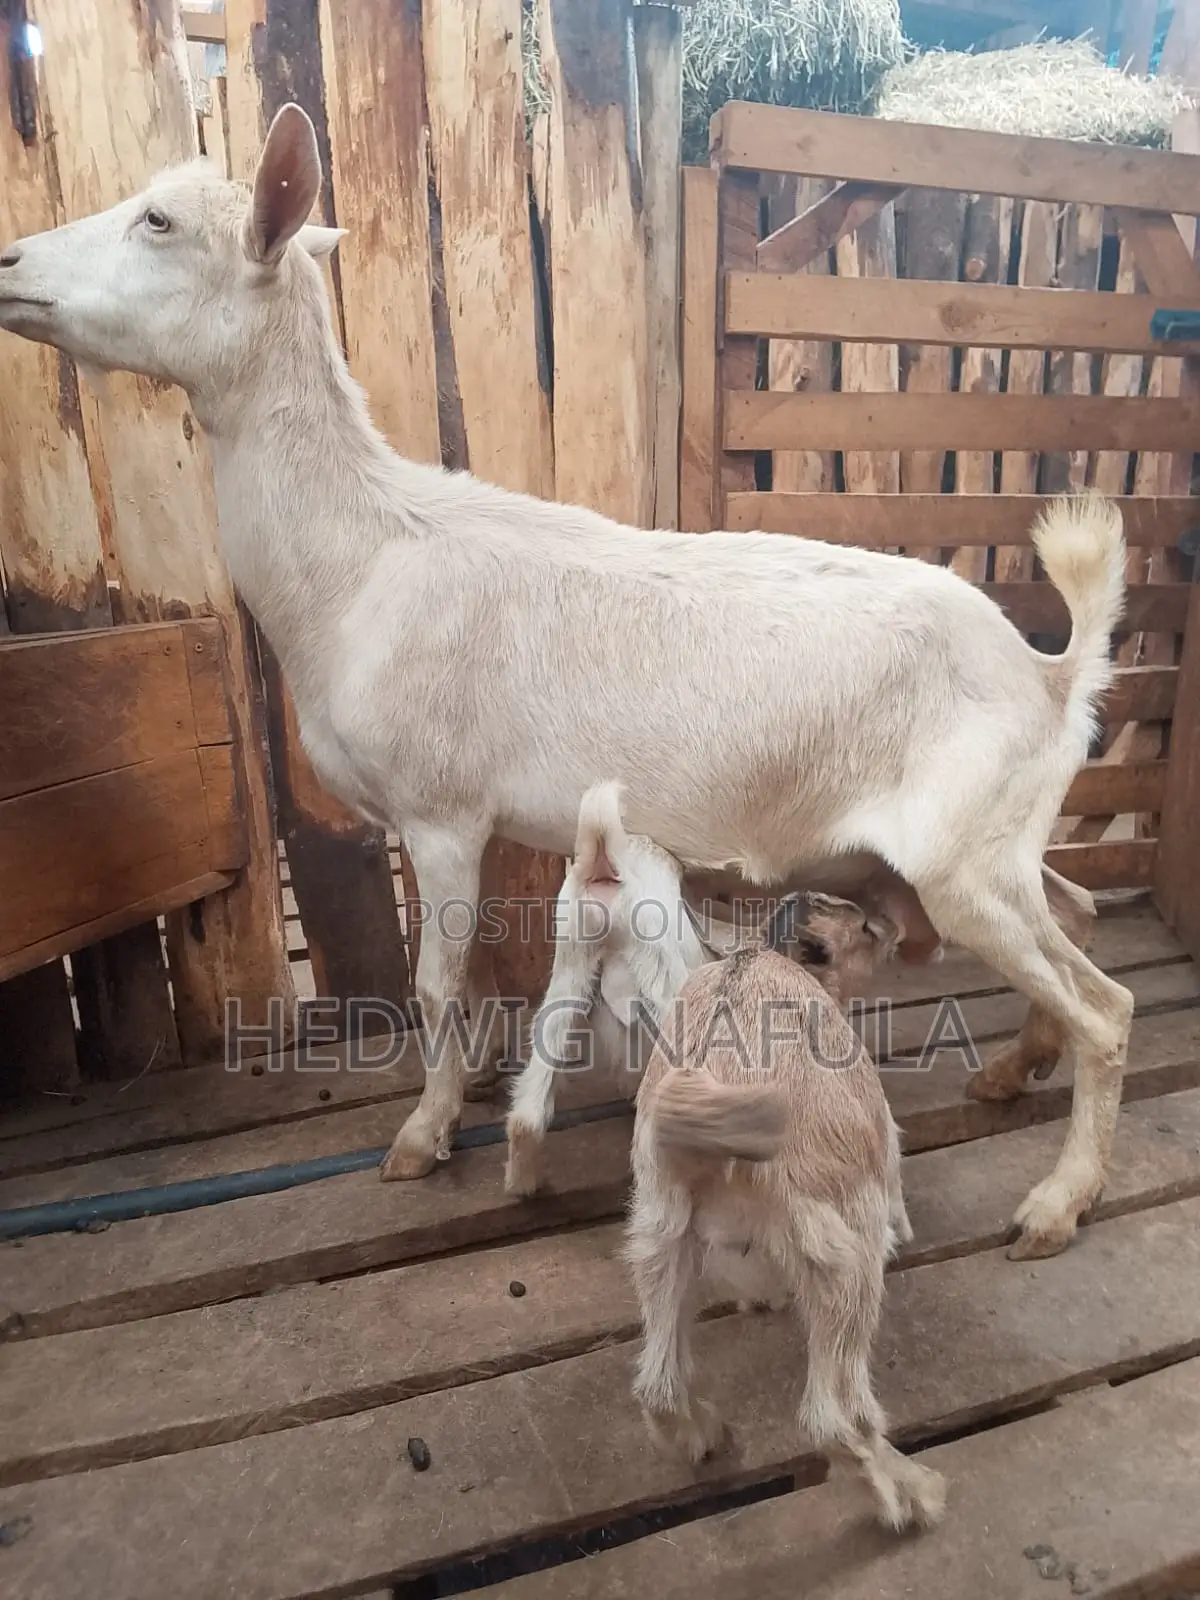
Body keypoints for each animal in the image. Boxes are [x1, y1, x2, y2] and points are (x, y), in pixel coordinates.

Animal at [0, 100, 1132, 1261]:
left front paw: (423, 1134)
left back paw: (1058, 1200)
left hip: (966, 859)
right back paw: (1011, 1072)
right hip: (979, 847)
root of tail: (1054, 671)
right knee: (1083, 912)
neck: (362, 559)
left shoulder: (442, 811)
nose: (8, 262)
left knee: (1110, 1009)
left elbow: (435, 980)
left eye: (160, 222)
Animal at [626, 894, 946, 1533]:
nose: (892, 921)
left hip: (659, 1236)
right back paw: (909, 1494)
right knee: (835, 1417)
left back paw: (701, 1434)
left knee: (658, 1384)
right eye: (864, 928)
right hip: (845, 1254)